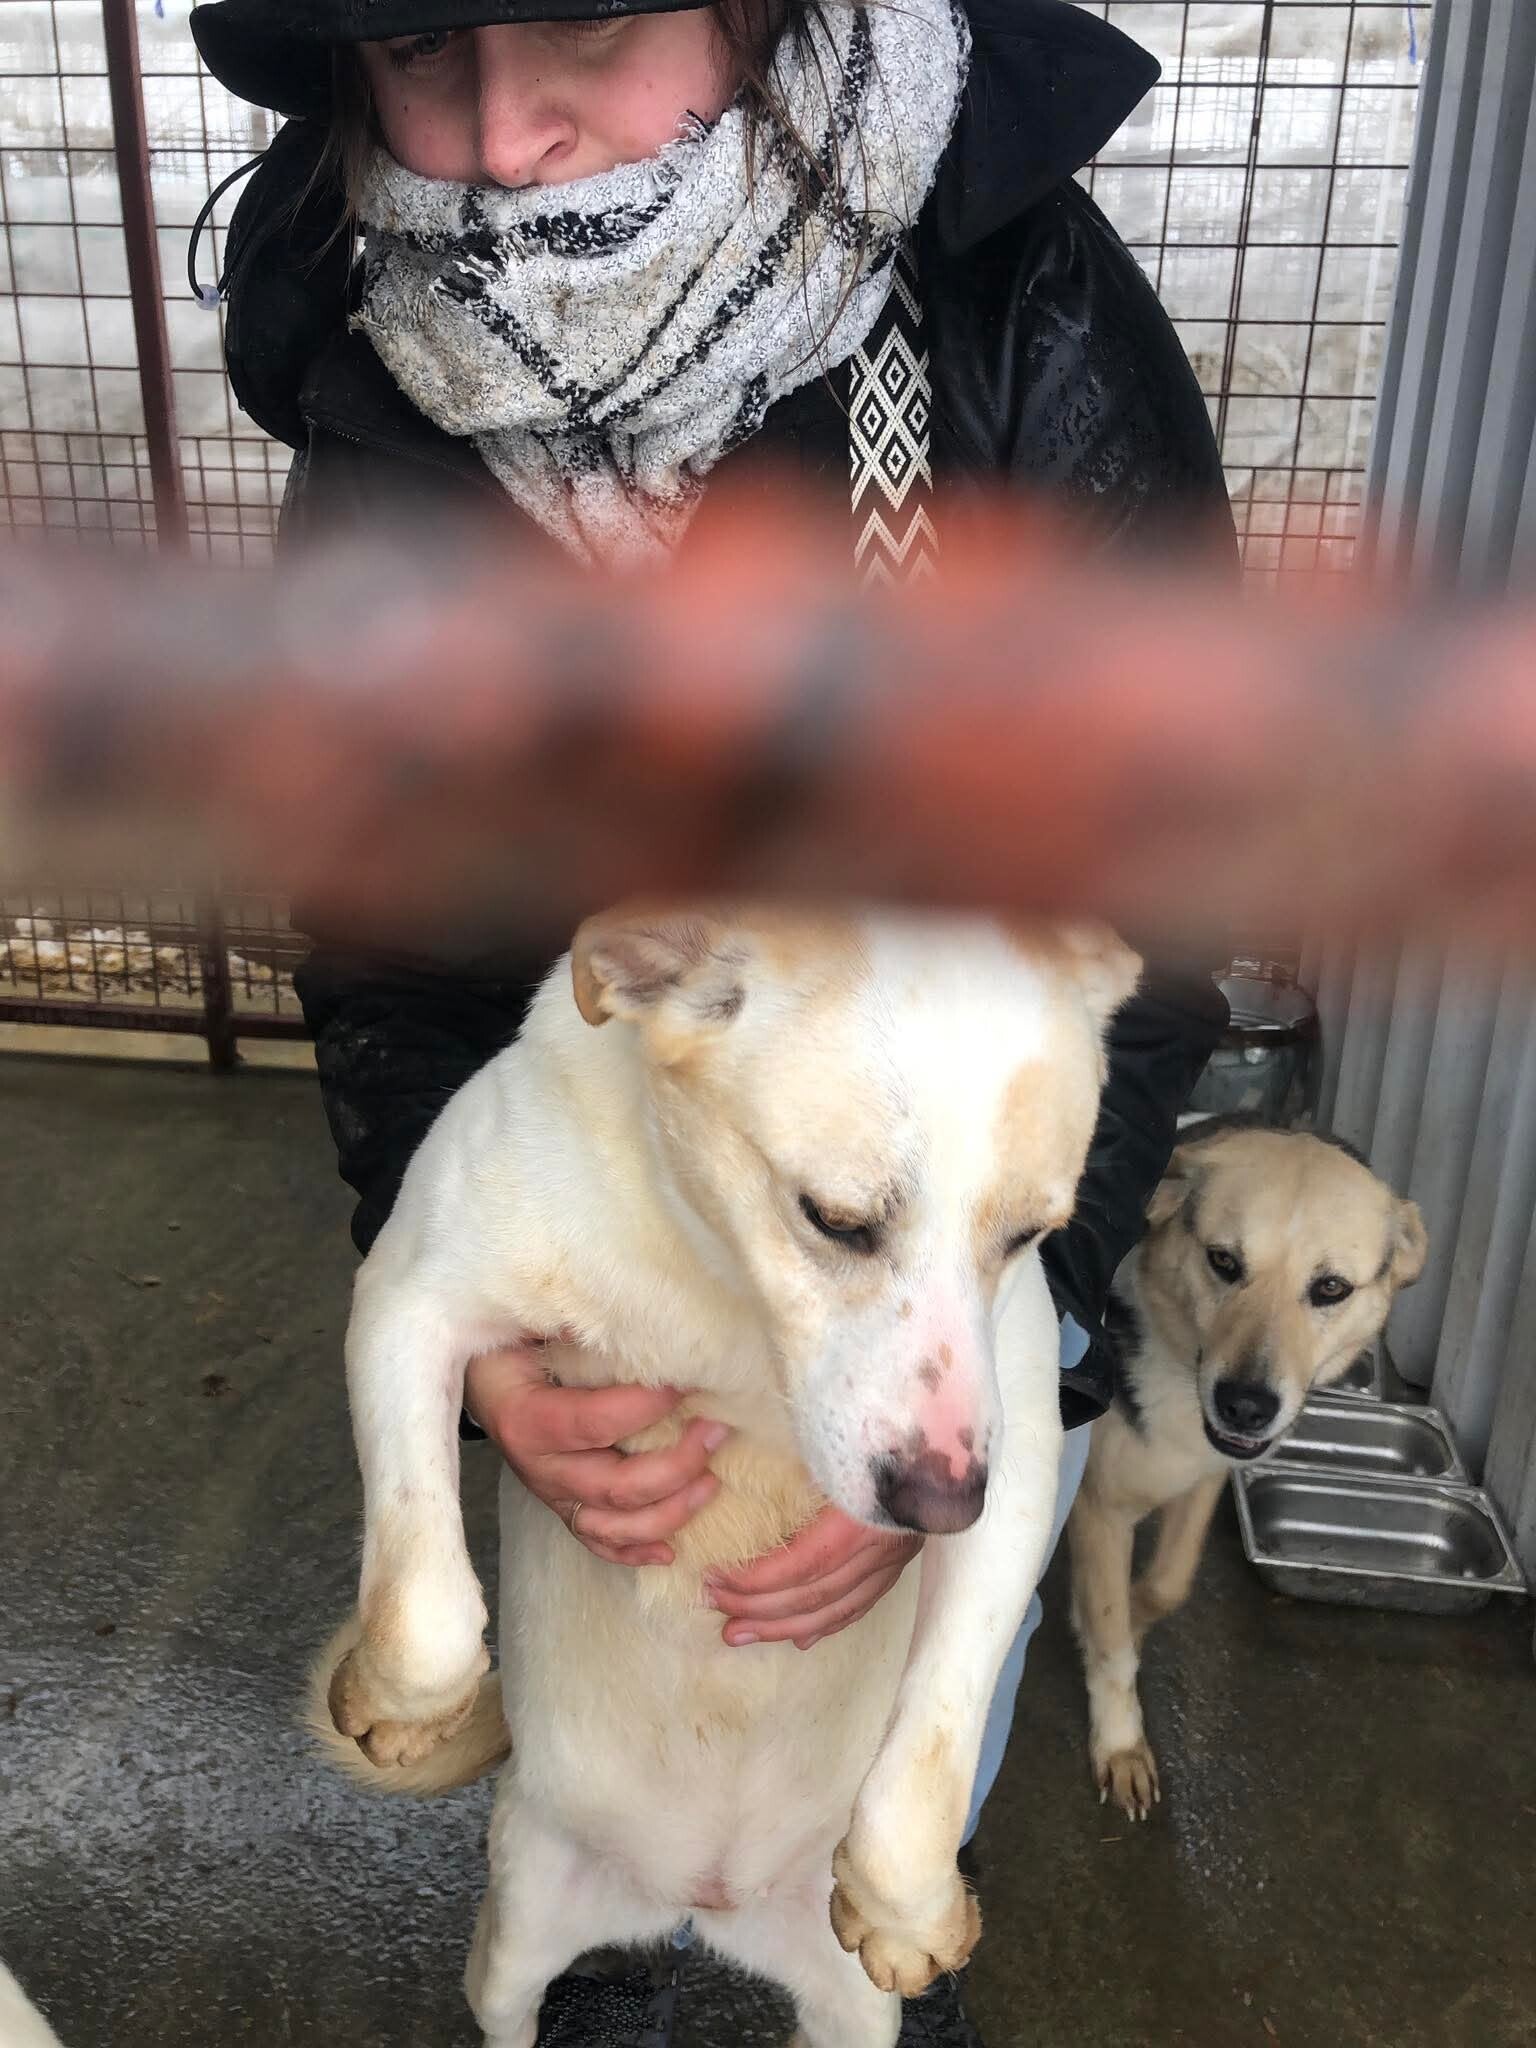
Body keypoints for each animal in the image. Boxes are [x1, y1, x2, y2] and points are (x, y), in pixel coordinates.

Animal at [309, 904, 1140, 2048]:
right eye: (836, 1220)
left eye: (1029, 1236)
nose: (937, 1508)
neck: (723, 1286)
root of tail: (695, 1903)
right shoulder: (408, 1299)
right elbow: (422, 1609)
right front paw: (395, 1704)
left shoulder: (1011, 1471)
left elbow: (936, 1739)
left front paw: (906, 1910)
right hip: (511, 1949)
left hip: (848, 2019)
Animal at [1067, 1118, 1427, 1820]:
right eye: (1224, 1262)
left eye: (1331, 1288)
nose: (1246, 1406)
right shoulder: (1099, 1506)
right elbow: (1111, 1634)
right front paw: (1121, 1742)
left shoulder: (1204, 1479)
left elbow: (1164, 1587)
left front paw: (1121, 1618)